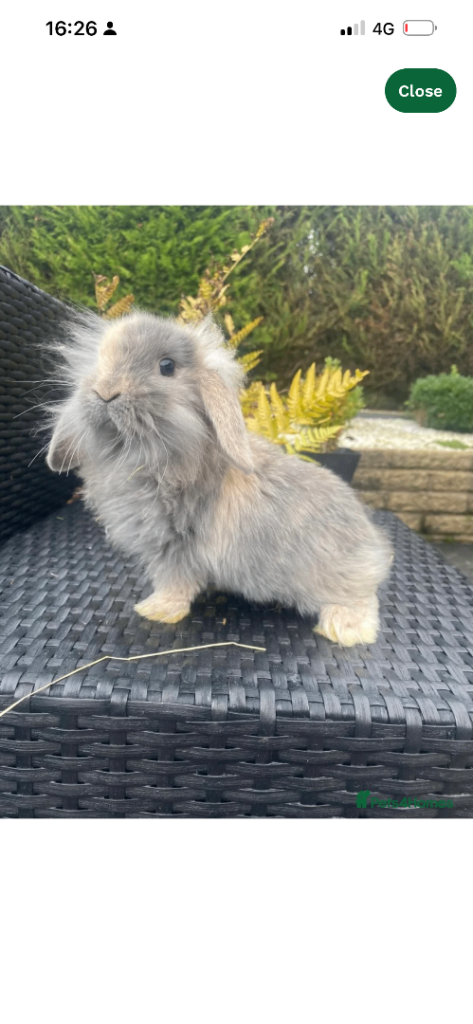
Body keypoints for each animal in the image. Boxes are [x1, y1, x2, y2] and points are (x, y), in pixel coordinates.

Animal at [44, 309, 393, 646]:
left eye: (167, 367)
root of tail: (371, 541)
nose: (105, 392)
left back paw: (346, 630)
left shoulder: (175, 549)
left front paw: (155, 611)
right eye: (101, 357)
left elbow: (174, 583)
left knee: (363, 599)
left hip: (335, 576)